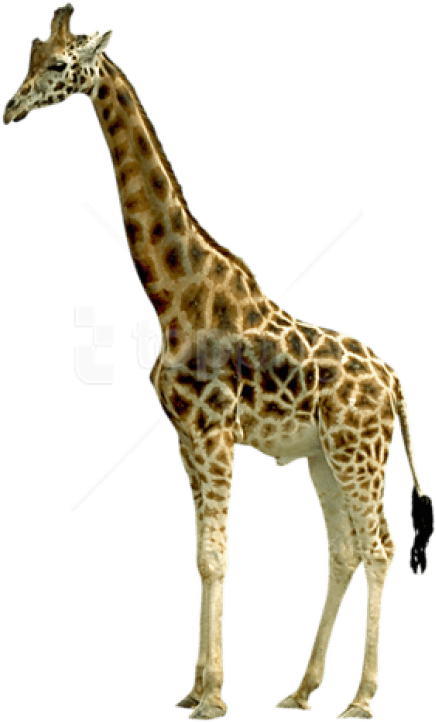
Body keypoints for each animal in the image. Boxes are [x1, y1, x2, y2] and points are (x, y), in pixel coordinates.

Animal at [3, 5, 434, 721]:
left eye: (60, 64)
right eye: (30, 56)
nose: (9, 109)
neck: (177, 295)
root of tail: (395, 381)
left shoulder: (213, 432)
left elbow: (219, 556)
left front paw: (211, 698)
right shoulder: (184, 438)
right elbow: (202, 558)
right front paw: (194, 689)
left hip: (358, 450)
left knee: (380, 546)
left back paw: (360, 699)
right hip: (322, 456)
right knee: (344, 549)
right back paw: (301, 690)